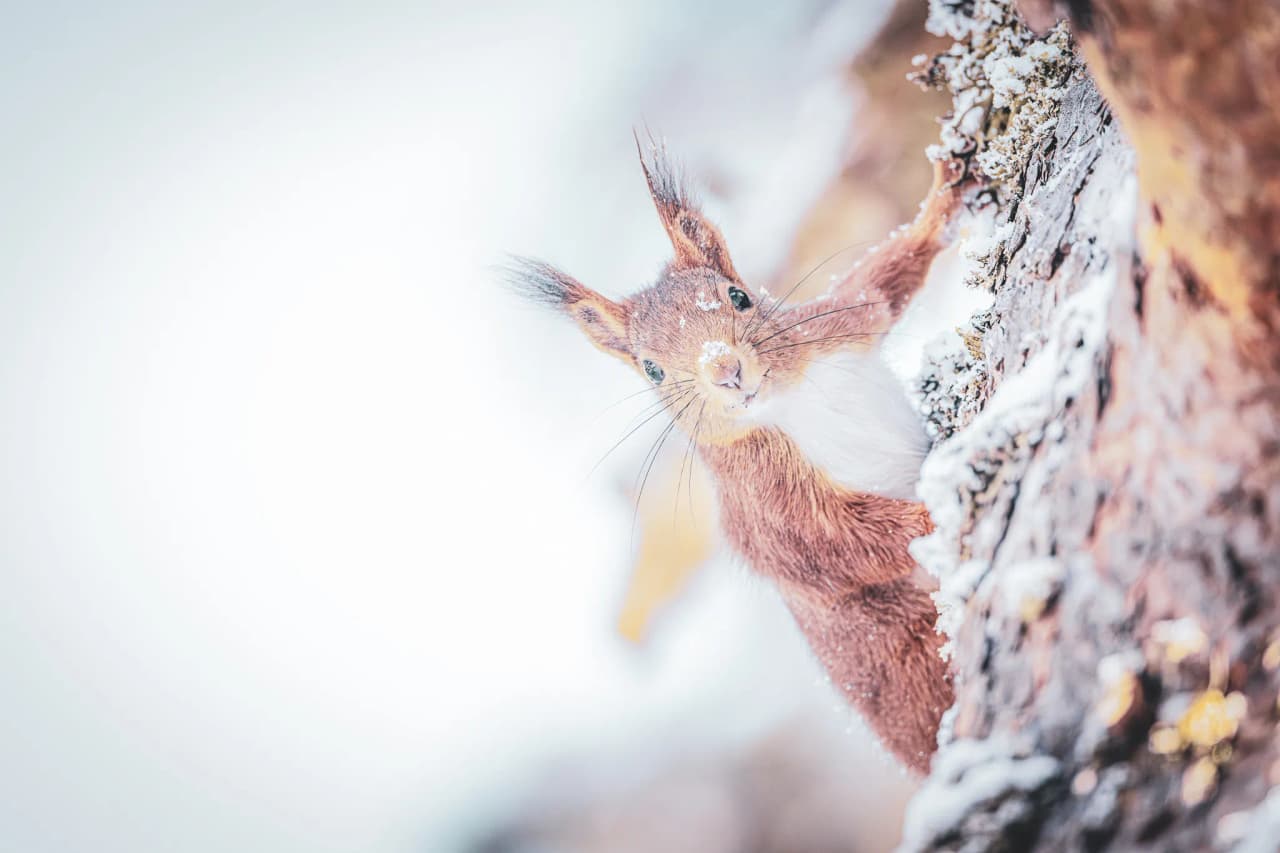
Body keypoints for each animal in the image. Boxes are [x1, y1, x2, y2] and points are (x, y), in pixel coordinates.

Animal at [513, 140, 970, 774]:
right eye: (652, 370)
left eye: (740, 297)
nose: (726, 370)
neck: (788, 401)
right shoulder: (769, 504)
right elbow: (841, 544)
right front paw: (936, 506)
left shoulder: (837, 324)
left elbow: (882, 280)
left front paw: (943, 198)